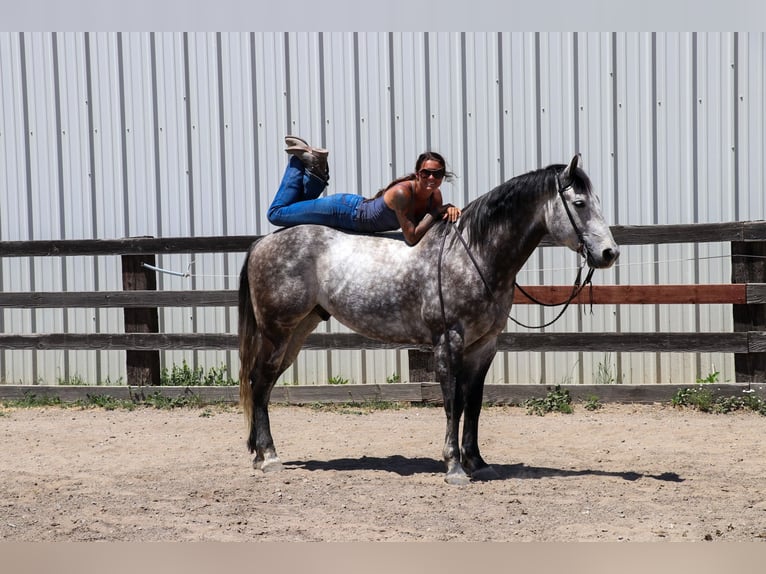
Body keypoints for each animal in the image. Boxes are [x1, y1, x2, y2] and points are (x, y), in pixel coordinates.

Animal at [238, 154, 619, 485]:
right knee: (260, 381)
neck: (473, 254)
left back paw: (259, 455)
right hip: (277, 332)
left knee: (264, 385)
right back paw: (269, 457)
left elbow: (473, 404)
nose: (609, 253)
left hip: (298, 331)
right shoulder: (448, 342)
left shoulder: (484, 346)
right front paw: (454, 467)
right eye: (580, 204)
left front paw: (478, 463)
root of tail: (262, 243)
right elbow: (452, 402)